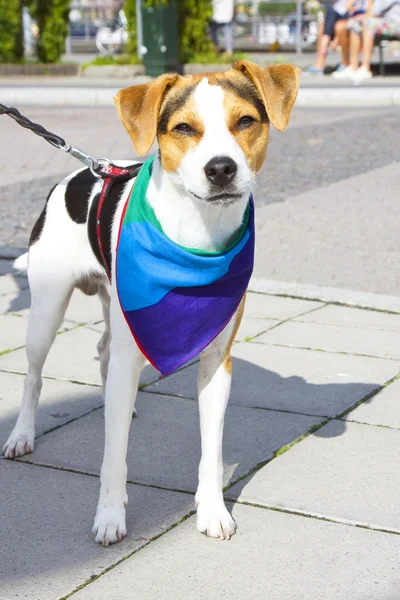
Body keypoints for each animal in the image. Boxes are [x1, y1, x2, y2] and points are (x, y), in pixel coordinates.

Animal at [2, 59, 296, 544]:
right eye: (184, 128)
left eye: (245, 121)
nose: (221, 168)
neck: (196, 236)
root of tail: (84, 171)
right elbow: (113, 455)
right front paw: (109, 516)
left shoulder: (217, 362)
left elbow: (211, 451)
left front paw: (213, 510)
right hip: (46, 310)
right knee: (33, 376)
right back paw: (22, 435)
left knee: (103, 351)